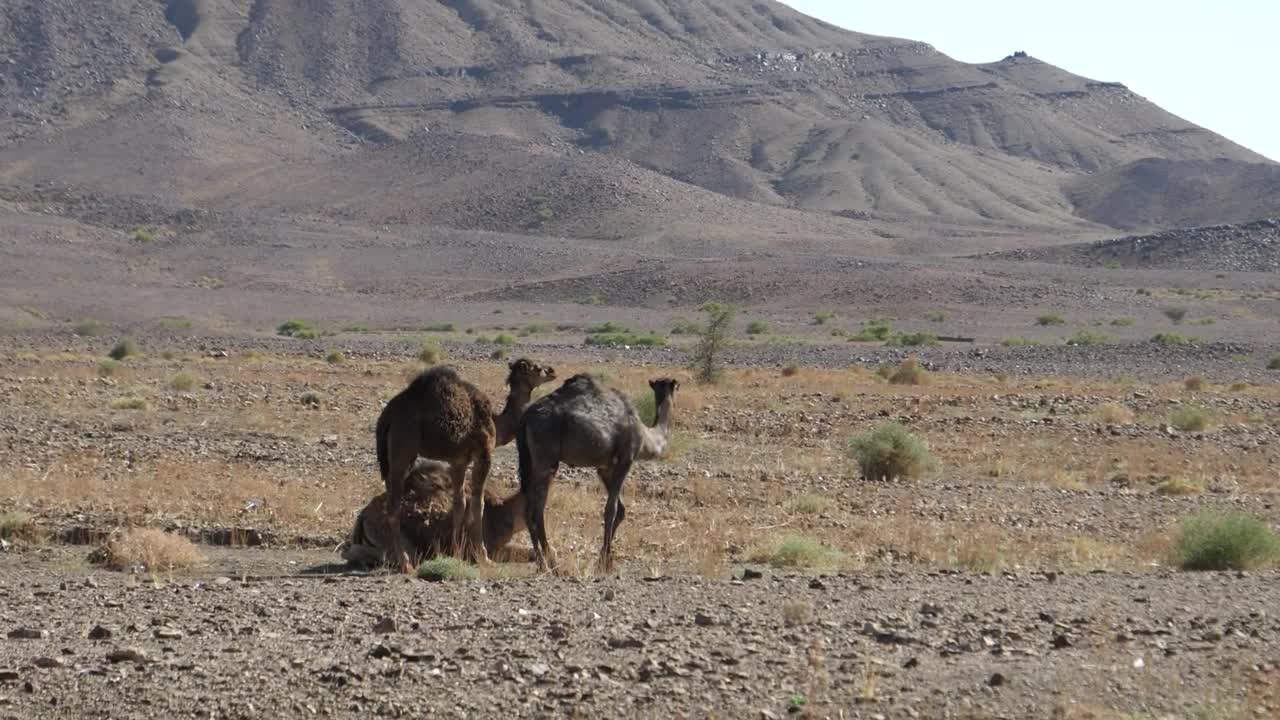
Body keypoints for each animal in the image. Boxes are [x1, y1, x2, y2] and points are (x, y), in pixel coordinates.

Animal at [375, 358, 555, 572]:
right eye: (537, 368)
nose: (552, 371)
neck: (496, 421)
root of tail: (387, 416)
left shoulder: (458, 460)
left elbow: (459, 503)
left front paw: (456, 553)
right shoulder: (484, 454)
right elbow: (479, 504)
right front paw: (484, 557)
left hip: (391, 458)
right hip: (403, 450)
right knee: (393, 507)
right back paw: (406, 564)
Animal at [516, 374, 679, 573]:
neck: (647, 436)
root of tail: (526, 417)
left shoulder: (604, 468)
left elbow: (621, 510)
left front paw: (605, 559)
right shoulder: (626, 458)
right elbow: (611, 509)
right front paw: (605, 563)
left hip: (530, 460)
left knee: (528, 506)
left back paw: (542, 562)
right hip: (545, 458)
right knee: (537, 510)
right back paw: (550, 562)